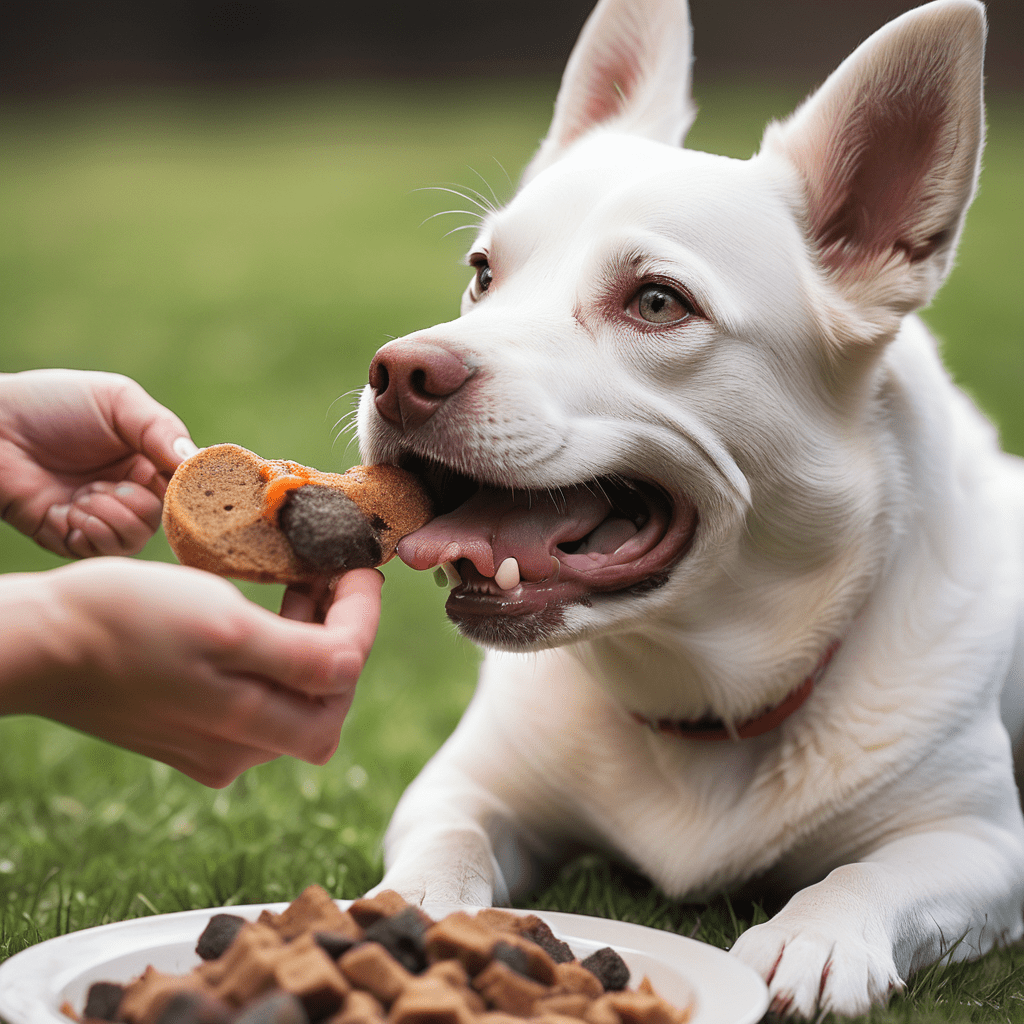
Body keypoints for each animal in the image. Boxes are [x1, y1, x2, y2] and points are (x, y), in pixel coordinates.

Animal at [356, 0, 1024, 1015]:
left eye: (659, 302)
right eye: (483, 273)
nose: (398, 372)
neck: (702, 694)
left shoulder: (982, 842)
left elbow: (872, 872)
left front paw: (817, 932)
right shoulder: (463, 786)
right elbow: (448, 842)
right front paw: (415, 909)